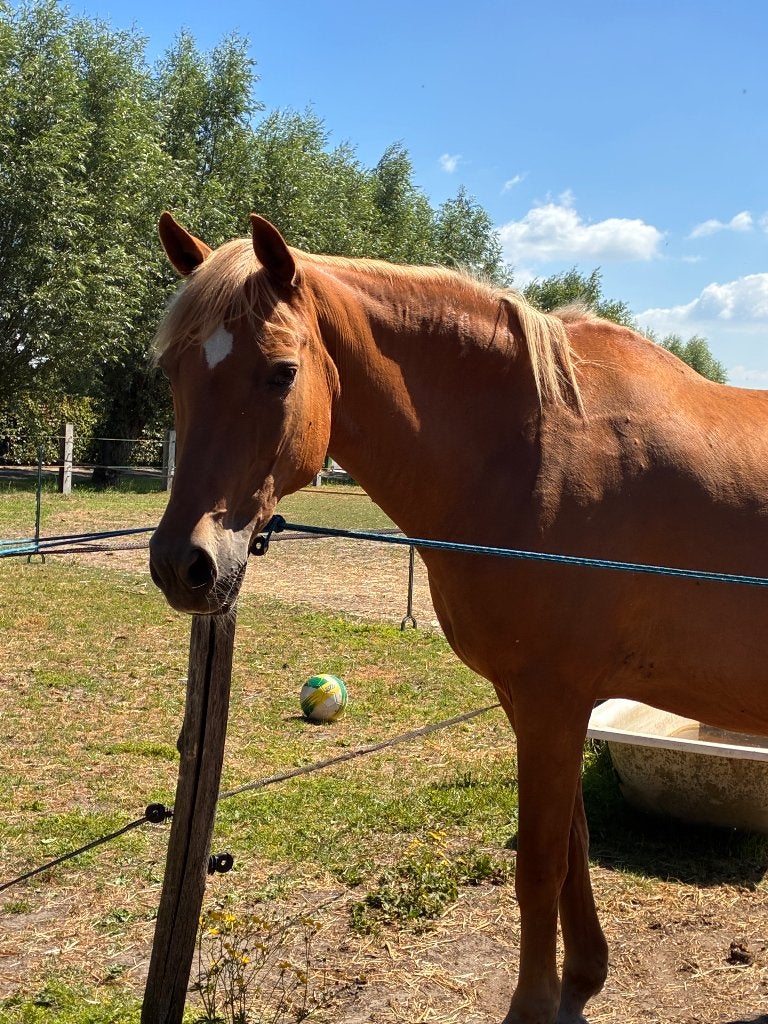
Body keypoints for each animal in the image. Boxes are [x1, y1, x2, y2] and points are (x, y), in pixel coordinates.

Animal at [149, 211, 768, 1024]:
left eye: (282, 372)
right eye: (172, 371)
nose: (181, 563)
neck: (532, 451)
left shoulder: (551, 701)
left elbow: (538, 866)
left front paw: (533, 1005)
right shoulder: (541, 703)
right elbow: (571, 847)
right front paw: (581, 978)